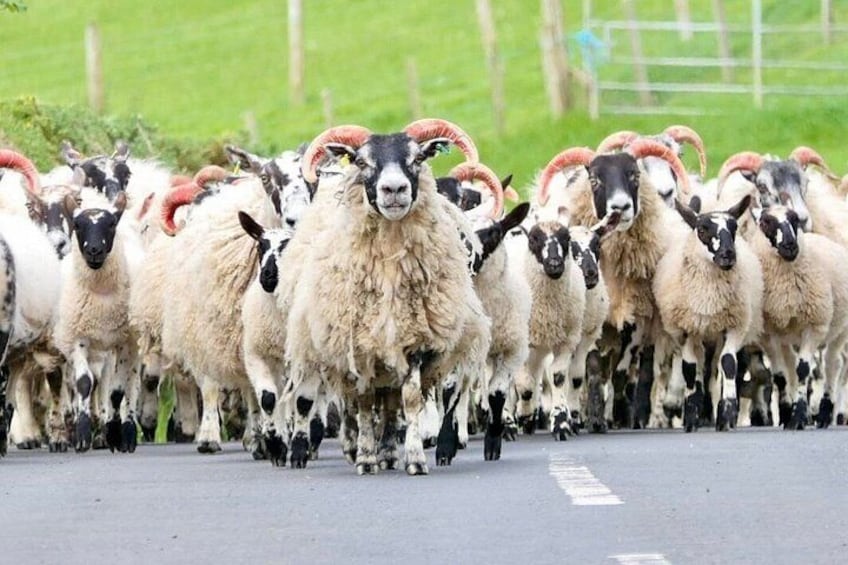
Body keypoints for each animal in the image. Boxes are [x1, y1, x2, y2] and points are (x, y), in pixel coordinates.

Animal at [285, 119, 489, 475]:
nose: (394, 189)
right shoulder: (359, 347)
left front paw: (414, 458)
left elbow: (410, 401)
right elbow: (364, 404)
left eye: (418, 157)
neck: (390, 268)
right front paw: (366, 458)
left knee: (391, 404)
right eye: (361, 161)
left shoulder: (415, 341)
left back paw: (390, 452)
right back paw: (357, 448)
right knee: (349, 405)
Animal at [652, 195, 764, 432]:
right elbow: (689, 369)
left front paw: (727, 413)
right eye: (702, 229)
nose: (728, 254)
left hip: (717, 337)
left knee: (714, 372)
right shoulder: (686, 329)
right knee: (700, 369)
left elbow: (728, 364)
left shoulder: (733, 326)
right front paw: (691, 417)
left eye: (734, 227)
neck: (709, 299)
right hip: (698, 336)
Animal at [749, 205, 848, 430]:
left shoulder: (814, 326)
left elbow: (803, 371)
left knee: (833, 363)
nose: (790, 246)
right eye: (765, 222)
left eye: (794, 219)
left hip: (840, 329)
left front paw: (799, 416)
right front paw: (787, 414)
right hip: (786, 336)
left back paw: (824, 414)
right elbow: (780, 376)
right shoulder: (768, 335)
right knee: (791, 366)